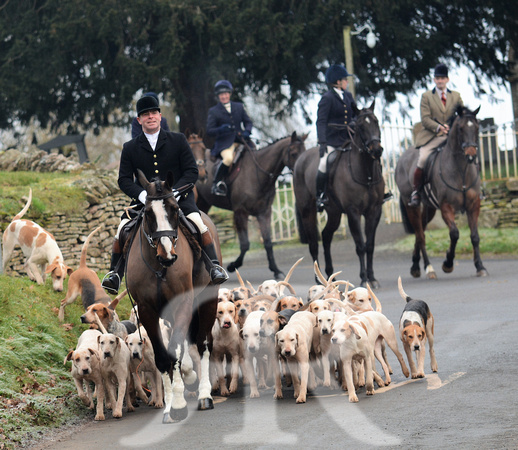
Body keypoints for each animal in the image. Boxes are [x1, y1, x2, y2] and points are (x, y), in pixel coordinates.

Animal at [125, 171, 219, 424]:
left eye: (175, 209)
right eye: (148, 213)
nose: (167, 255)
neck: (159, 267)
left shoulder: (183, 302)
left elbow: (176, 349)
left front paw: (178, 403)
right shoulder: (147, 311)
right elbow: (163, 356)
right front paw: (169, 406)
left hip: (208, 300)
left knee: (203, 344)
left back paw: (204, 394)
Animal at [195, 132, 308, 280]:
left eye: (305, 151)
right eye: (294, 153)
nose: (301, 171)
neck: (257, 174)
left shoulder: (264, 212)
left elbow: (268, 242)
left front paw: (276, 270)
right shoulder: (240, 212)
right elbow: (245, 244)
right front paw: (233, 265)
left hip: (204, 203)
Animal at [292, 101, 386, 288]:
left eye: (376, 121)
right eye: (360, 126)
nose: (377, 150)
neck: (366, 174)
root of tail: (300, 160)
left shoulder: (374, 211)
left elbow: (370, 245)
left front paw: (372, 278)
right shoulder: (353, 212)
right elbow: (360, 246)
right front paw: (364, 279)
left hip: (334, 213)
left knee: (326, 236)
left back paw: (329, 276)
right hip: (307, 211)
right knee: (313, 243)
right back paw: (318, 279)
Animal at [396, 107, 490, 280]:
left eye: (477, 128)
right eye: (460, 128)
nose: (471, 154)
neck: (461, 170)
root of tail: (402, 158)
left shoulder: (474, 205)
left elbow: (475, 236)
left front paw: (480, 266)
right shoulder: (447, 207)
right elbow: (454, 234)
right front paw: (448, 263)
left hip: (430, 208)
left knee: (420, 232)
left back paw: (415, 266)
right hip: (411, 205)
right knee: (420, 235)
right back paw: (429, 268)